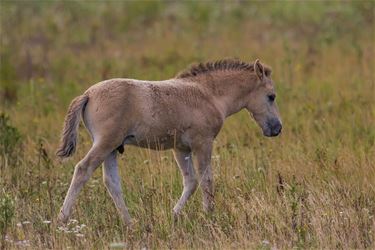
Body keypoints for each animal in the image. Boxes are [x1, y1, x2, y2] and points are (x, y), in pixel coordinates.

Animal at [56, 58, 282, 225]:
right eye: (271, 96)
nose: (277, 128)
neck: (208, 94)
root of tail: (88, 94)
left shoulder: (180, 149)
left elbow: (191, 182)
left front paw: (173, 215)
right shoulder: (202, 143)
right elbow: (207, 180)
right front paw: (210, 215)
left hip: (112, 148)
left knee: (112, 181)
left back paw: (130, 223)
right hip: (105, 144)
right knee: (83, 169)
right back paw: (62, 219)